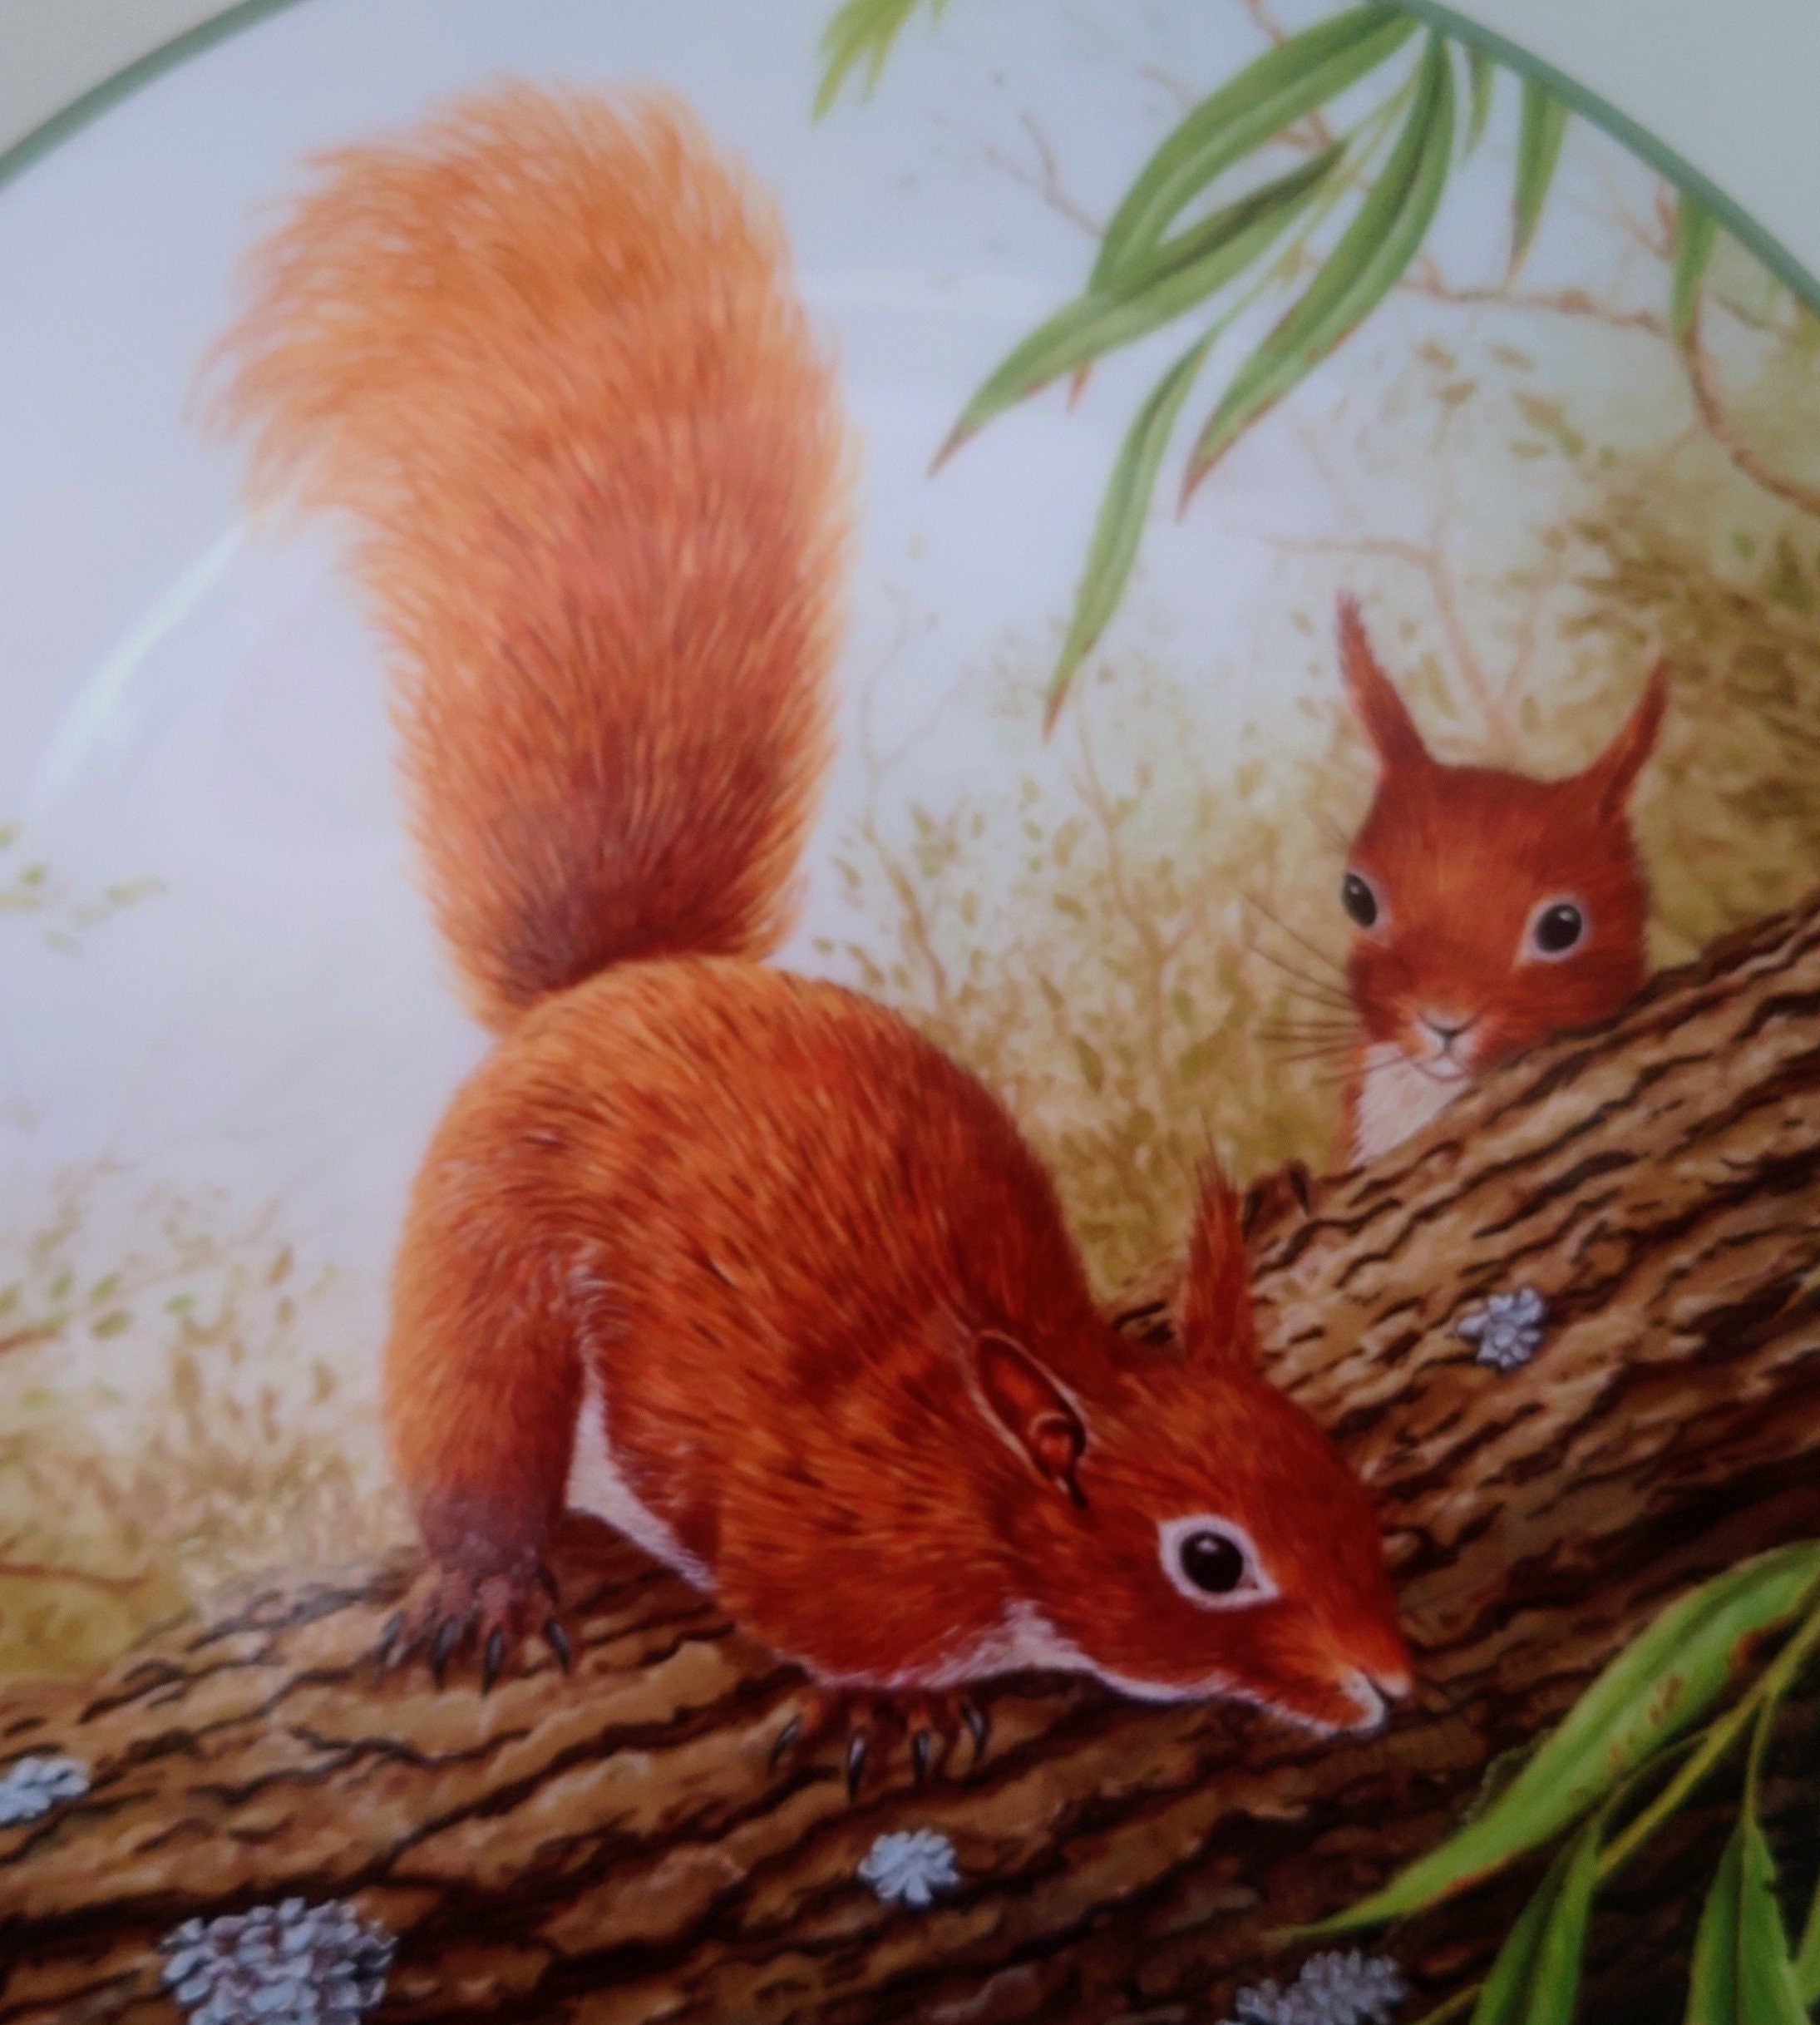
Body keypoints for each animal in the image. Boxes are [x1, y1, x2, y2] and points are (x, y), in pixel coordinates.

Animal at [209, 82, 1412, 1774]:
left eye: (1338, 1481)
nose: (1391, 1680)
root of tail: (623, 982)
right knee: (470, 1436)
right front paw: (877, 1703)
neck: (958, 1464)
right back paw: (486, 1575)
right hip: (482, 1270)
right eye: (1208, 1558)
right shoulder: (804, 1529)